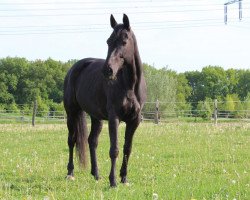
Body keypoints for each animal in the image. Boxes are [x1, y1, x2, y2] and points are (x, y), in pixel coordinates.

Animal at [63, 13, 147, 186]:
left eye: (124, 41)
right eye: (108, 41)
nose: (107, 70)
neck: (130, 85)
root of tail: (74, 68)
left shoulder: (134, 120)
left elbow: (127, 148)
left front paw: (124, 178)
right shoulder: (114, 118)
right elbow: (114, 149)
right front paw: (113, 181)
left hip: (96, 118)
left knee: (92, 141)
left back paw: (96, 174)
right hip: (71, 113)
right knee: (72, 140)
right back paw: (70, 172)